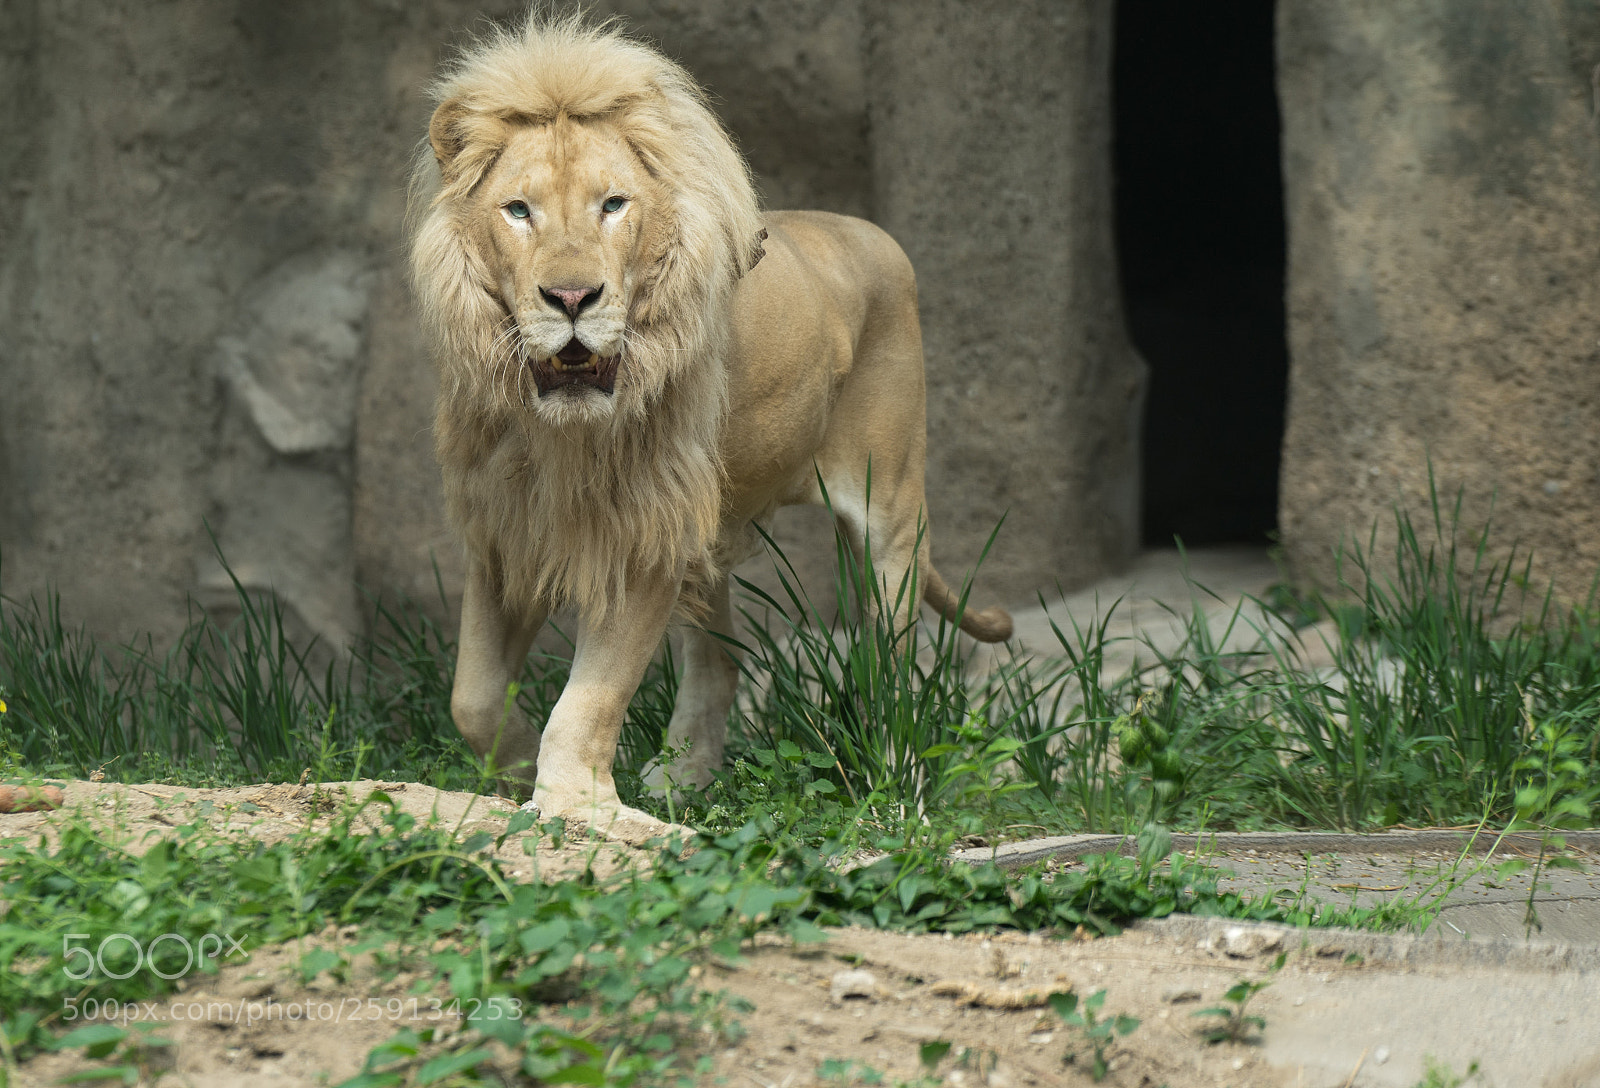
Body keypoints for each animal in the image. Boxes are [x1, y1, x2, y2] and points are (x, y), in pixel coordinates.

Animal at [409, 14, 1012, 840]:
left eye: (612, 205)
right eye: (518, 210)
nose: (572, 298)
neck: (561, 434)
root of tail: (868, 230)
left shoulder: (644, 530)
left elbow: (593, 695)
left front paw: (575, 802)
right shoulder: (507, 528)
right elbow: (470, 695)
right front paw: (515, 770)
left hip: (890, 509)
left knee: (892, 662)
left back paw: (896, 787)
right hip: (713, 526)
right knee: (720, 661)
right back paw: (685, 775)